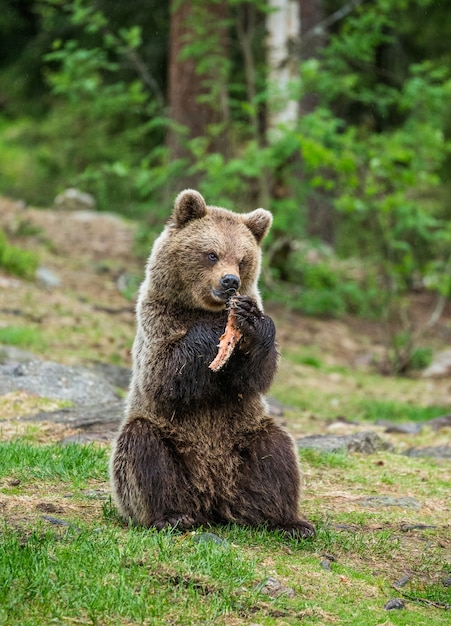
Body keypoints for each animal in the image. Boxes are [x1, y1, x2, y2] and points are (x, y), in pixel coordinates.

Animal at [109, 189, 314, 536]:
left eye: (243, 259)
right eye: (211, 254)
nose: (230, 281)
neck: (200, 307)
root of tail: (213, 498)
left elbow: (255, 375)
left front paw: (250, 320)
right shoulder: (157, 321)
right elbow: (164, 374)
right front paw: (214, 329)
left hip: (244, 434)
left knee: (276, 453)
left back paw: (288, 521)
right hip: (170, 441)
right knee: (144, 450)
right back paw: (172, 516)